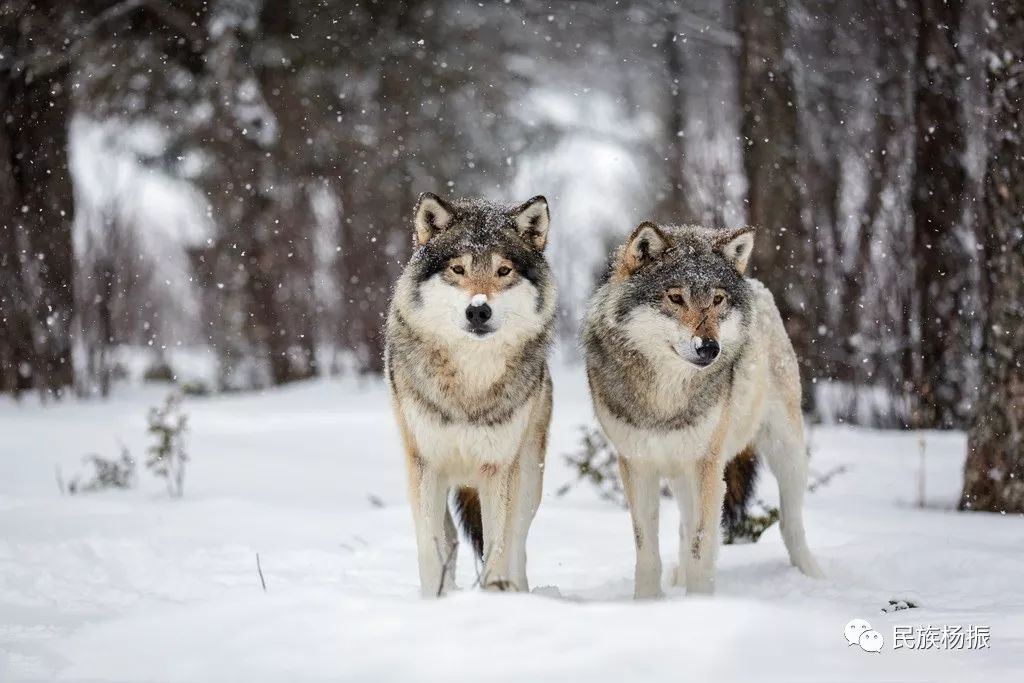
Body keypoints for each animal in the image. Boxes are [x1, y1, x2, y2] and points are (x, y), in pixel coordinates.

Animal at [385, 192, 561, 598]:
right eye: (458, 269)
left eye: (503, 271)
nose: (478, 310)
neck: (471, 382)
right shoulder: (425, 465)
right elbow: (430, 547)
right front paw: (434, 600)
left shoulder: (498, 469)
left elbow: (499, 546)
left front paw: (494, 595)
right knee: (449, 540)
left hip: (528, 478)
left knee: (518, 542)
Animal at [585, 220, 823, 598]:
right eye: (675, 297)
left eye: (717, 299)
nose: (710, 348)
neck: (666, 396)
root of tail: (758, 287)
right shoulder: (637, 466)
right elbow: (647, 550)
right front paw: (647, 603)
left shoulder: (707, 467)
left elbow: (701, 545)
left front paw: (699, 604)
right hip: (682, 472)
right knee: (685, 526)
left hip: (786, 451)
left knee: (790, 523)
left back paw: (813, 577)